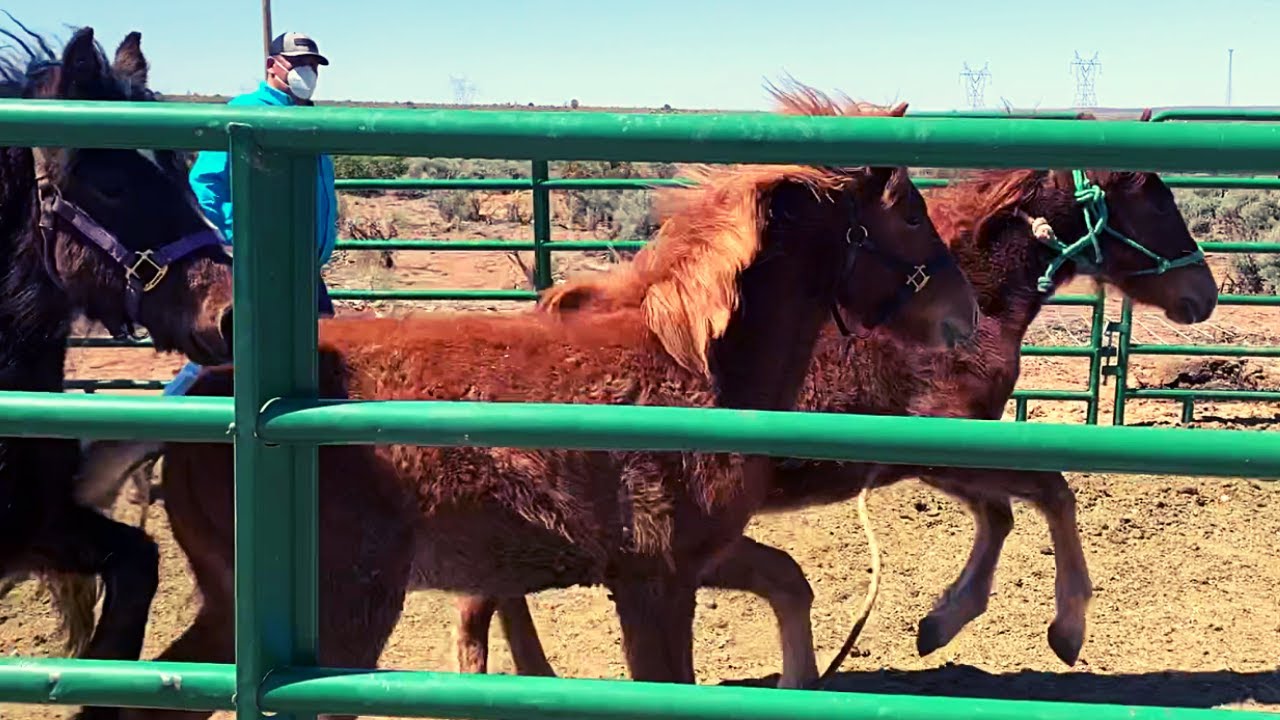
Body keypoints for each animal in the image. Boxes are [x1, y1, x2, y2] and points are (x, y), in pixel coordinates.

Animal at [105, 111, 985, 717]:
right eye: (912, 213)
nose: (967, 316)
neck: (692, 368)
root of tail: (217, 393)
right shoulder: (654, 585)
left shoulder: (694, 558)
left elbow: (790, 582)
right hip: (341, 616)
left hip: (240, 609)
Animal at [449, 82, 1220, 686]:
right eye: (1156, 199)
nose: (1204, 295)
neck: (976, 307)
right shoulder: (941, 445)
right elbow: (1049, 493)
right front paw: (1064, 630)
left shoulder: (929, 460)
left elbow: (1003, 514)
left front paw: (939, 624)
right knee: (480, 603)